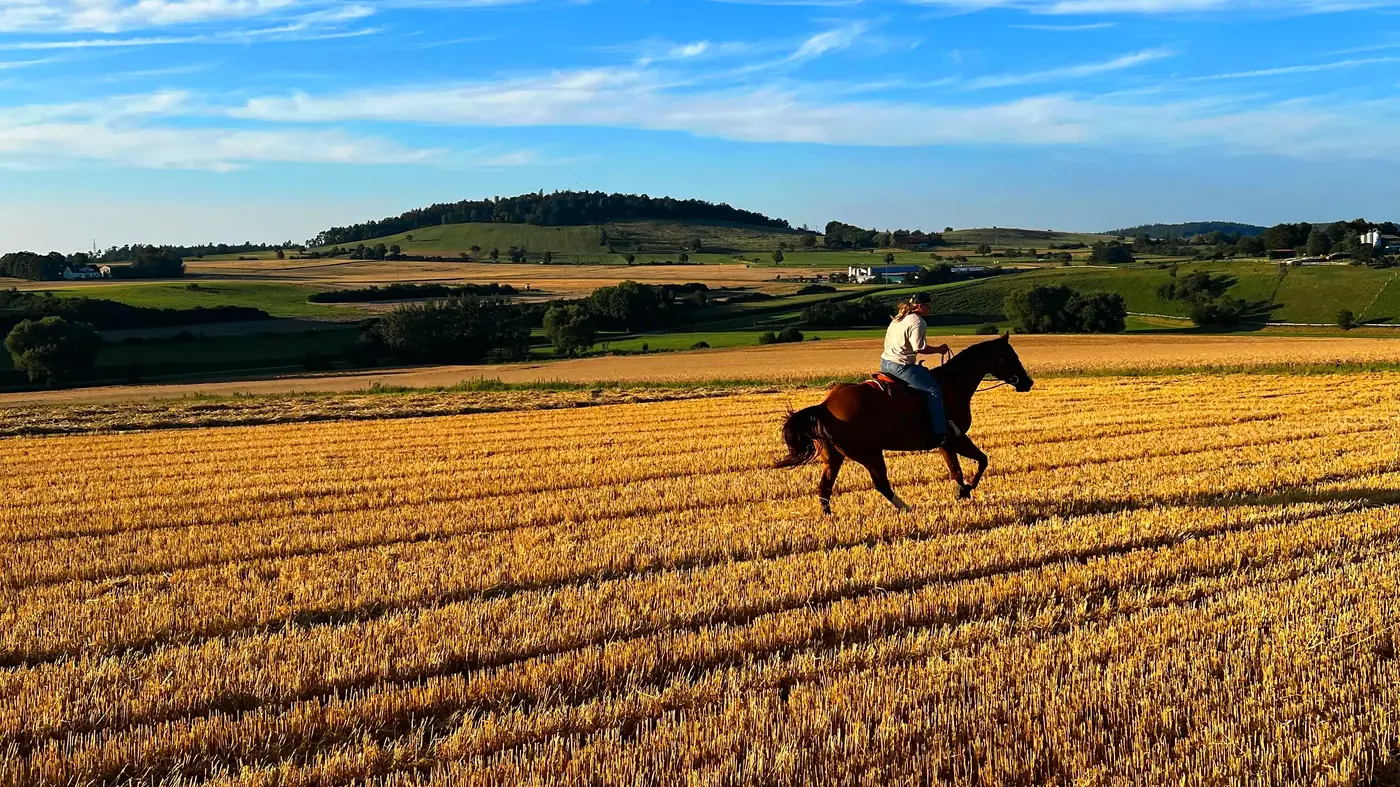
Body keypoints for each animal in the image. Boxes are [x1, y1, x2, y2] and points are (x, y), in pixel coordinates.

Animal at [775, 333, 1034, 514]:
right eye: (1011, 357)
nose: (1027, 382)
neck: (953, 385)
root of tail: (825, 405)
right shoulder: (954, 439)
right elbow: (974, 464)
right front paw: (965, 490)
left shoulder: (949, 442)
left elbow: (965, 466)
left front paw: (964, 491)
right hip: (870, 454)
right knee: (881, 484)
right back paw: (906, 507)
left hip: (834, 458)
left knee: (825, 487)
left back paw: (828, 516)